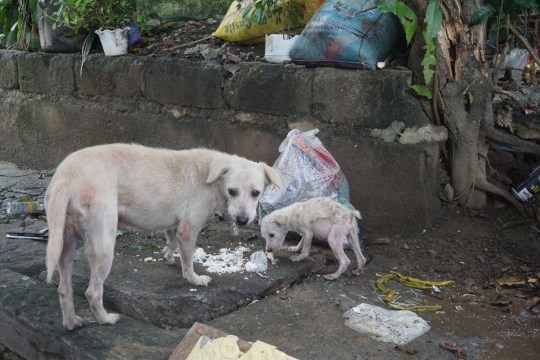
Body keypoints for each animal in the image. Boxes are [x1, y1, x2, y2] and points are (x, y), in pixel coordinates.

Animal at [44, 143, 282, 330]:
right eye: (233, 191)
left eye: (256, 193)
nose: (242, 220)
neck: (211, 176)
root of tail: (66, 176)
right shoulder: (188, 229)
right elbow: (187, 261)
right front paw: (194, 278)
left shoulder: (174, 225)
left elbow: (172, 242)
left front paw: (168, 255)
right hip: (103, 245)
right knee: (93, 292)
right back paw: (105, 319)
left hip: (66, 243)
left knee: (64, 288)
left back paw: (72, 323)